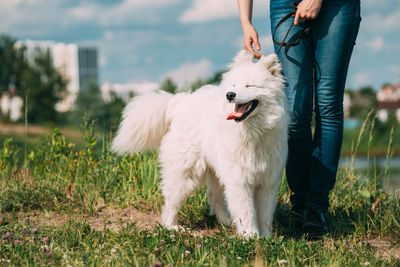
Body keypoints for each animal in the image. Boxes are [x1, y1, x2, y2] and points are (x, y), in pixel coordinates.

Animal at [111, 50, 290, 239]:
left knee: (214, 198)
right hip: (186, 173)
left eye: (249, 85)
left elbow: (264, 213)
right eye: (234, 84)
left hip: (216, 171)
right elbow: (246, 211)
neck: (253, 132)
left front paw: (266, 237)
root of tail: (177, 103)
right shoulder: (239, 180)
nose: (230, 95)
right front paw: (250, 237)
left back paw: (226, 222)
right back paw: (172, 227)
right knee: (171, 202)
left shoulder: (267, 181)